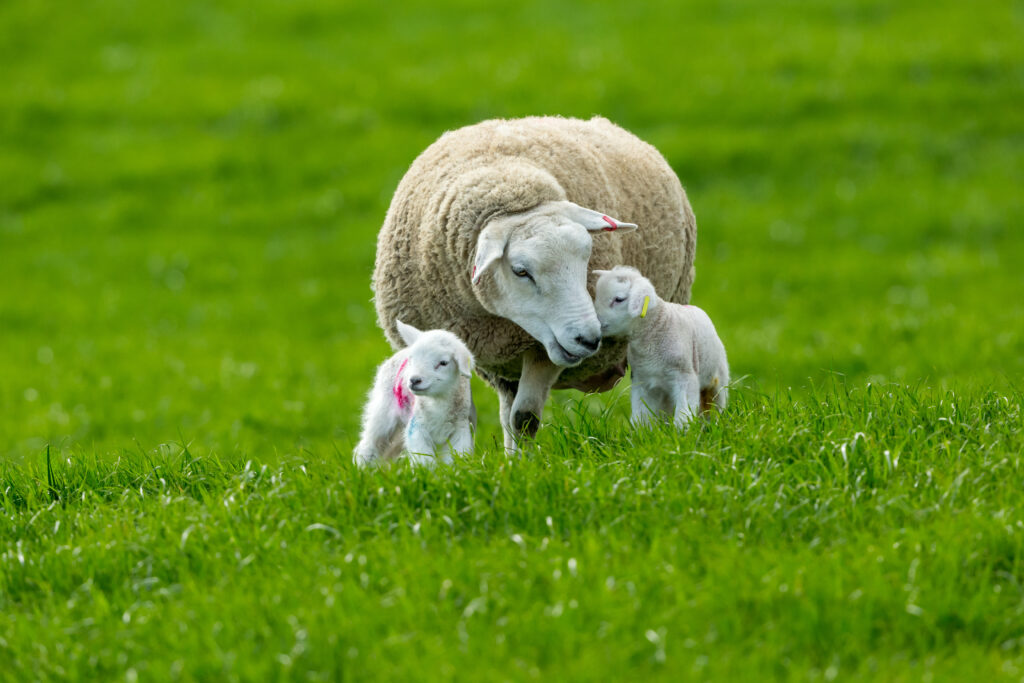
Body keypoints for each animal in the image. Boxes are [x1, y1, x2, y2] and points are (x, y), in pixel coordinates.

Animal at [352, 323, 475, 466]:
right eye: (412, 359)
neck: (437, 400)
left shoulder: (460, 429)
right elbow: (424, 459)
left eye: (443, 362)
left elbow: (455, 458)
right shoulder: (417, 428)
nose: (414, 380)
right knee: (370, 443)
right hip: (383, 412)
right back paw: (363, 467)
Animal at [593, 266, 729, 428]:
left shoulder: (684, 376)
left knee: (715, 406)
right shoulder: (642, 380)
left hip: (718, 379)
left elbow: (683, 413)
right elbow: (640, 415)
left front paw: (682, 431)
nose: (595, 322)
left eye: (619, 299)